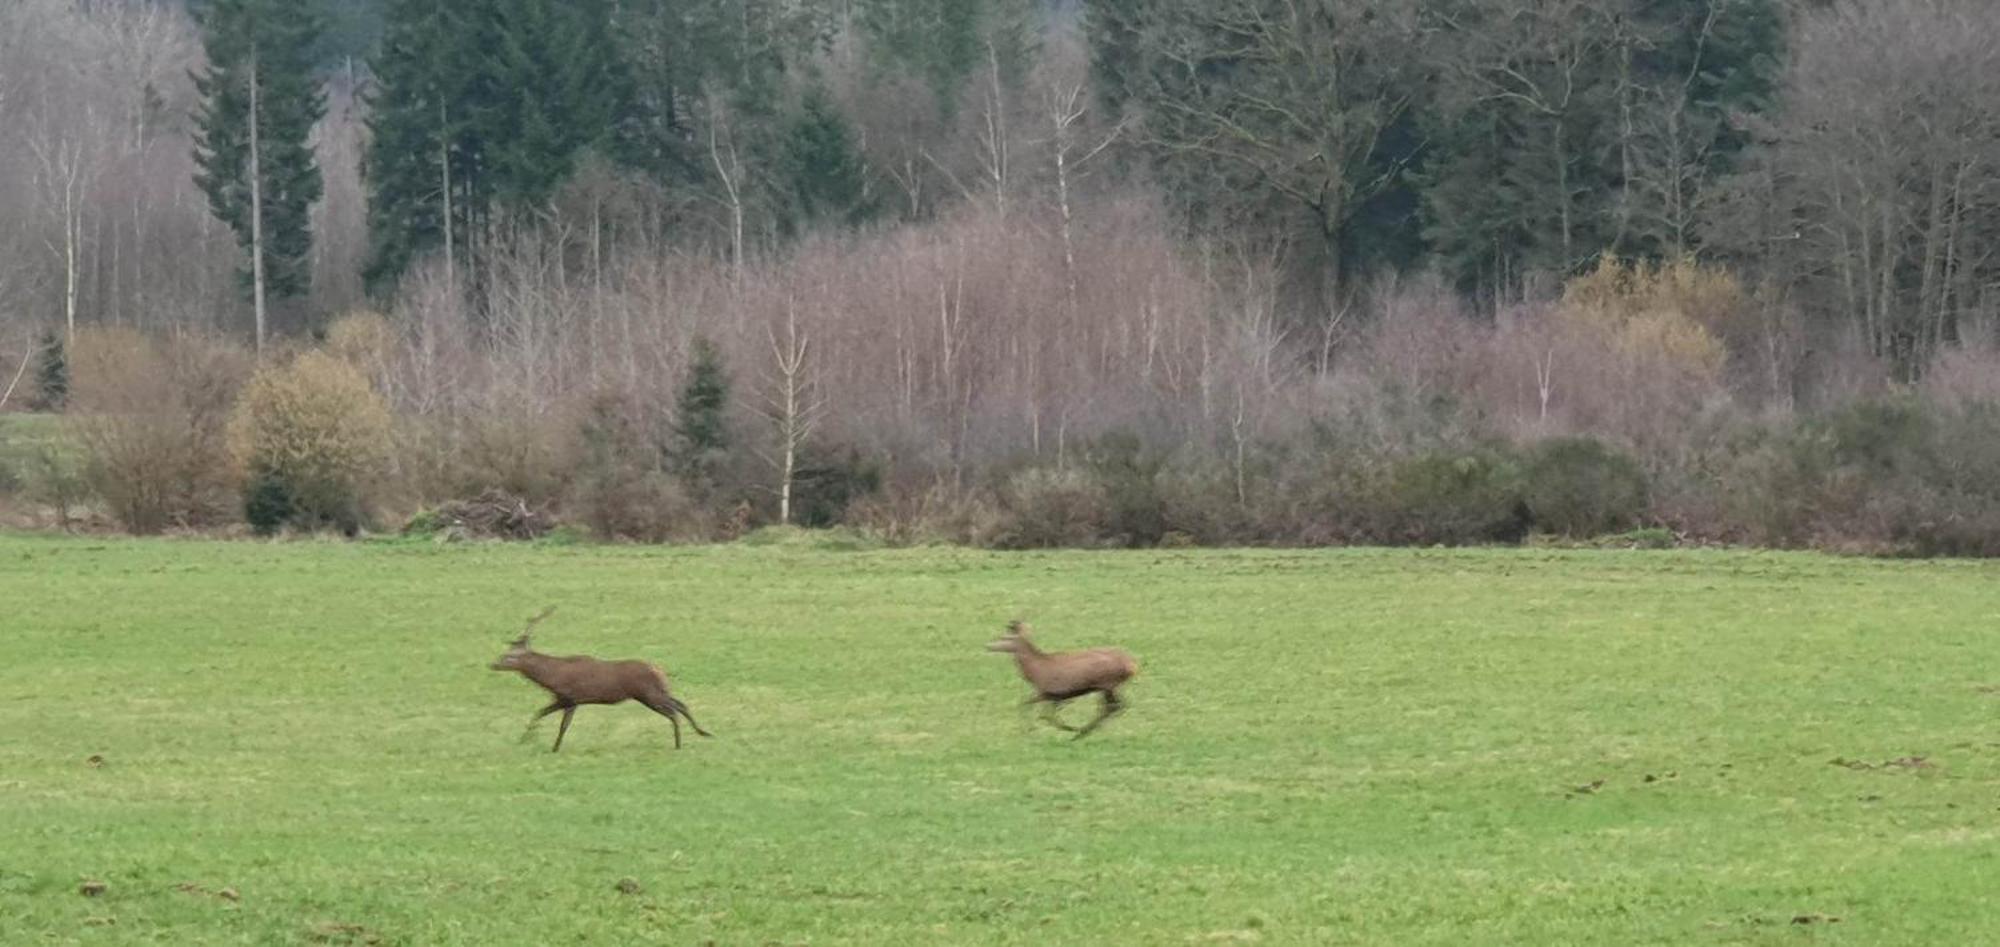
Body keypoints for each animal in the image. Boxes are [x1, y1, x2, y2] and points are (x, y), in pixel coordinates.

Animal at [488, 607, 716, 755]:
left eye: (508, 657)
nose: (493, 664)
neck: (551, 677)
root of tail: (659, 669)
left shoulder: (570, 698)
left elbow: (562, 726)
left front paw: (553, 748)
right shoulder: (564, 699)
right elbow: (539, 714)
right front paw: (525, 739)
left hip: (648, 694)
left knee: (673, 710)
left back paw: (680, 742)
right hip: (657, 691)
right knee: (680, 704)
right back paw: (702, 733)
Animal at [988, 623, 1144, 739]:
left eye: (1005, 637)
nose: (988, 646)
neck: (1034, 673)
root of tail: (1132, 665)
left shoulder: (1051, 692)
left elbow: (1039, 712)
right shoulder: (1055, 696)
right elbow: (1039, 712)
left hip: (1108, 682)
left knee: (1114, 706)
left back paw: (1081, 732)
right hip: (1109, 686)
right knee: (1114, 706)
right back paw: (1084, 731)